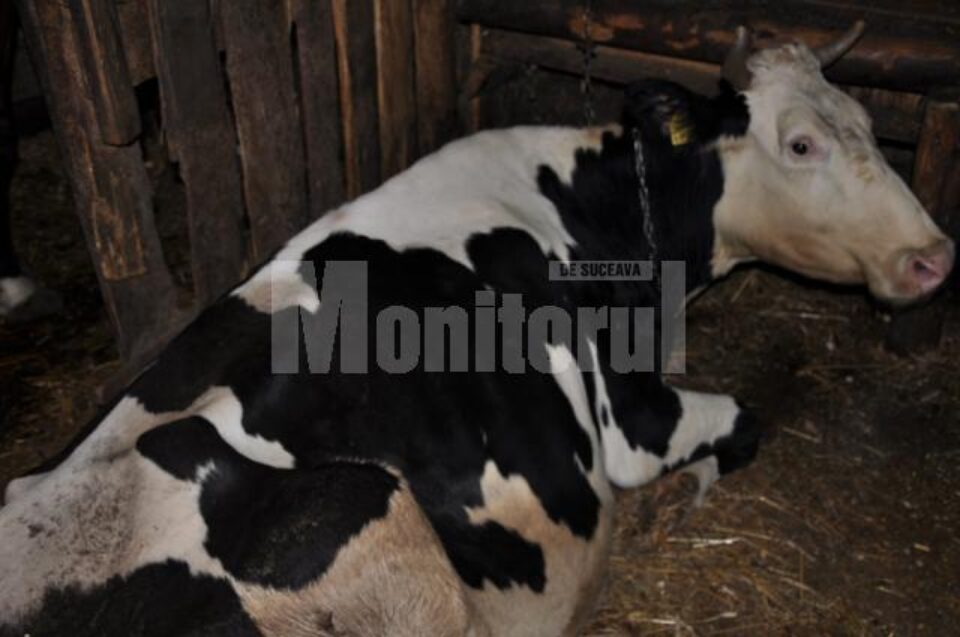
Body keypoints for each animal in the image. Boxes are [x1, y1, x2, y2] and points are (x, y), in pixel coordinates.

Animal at [0, 23, 954, 637]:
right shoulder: (630, 422)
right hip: (364, 506)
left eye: (868, 126)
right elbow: (745, 422)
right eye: (800, 145)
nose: (935, 257)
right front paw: (680, 495)